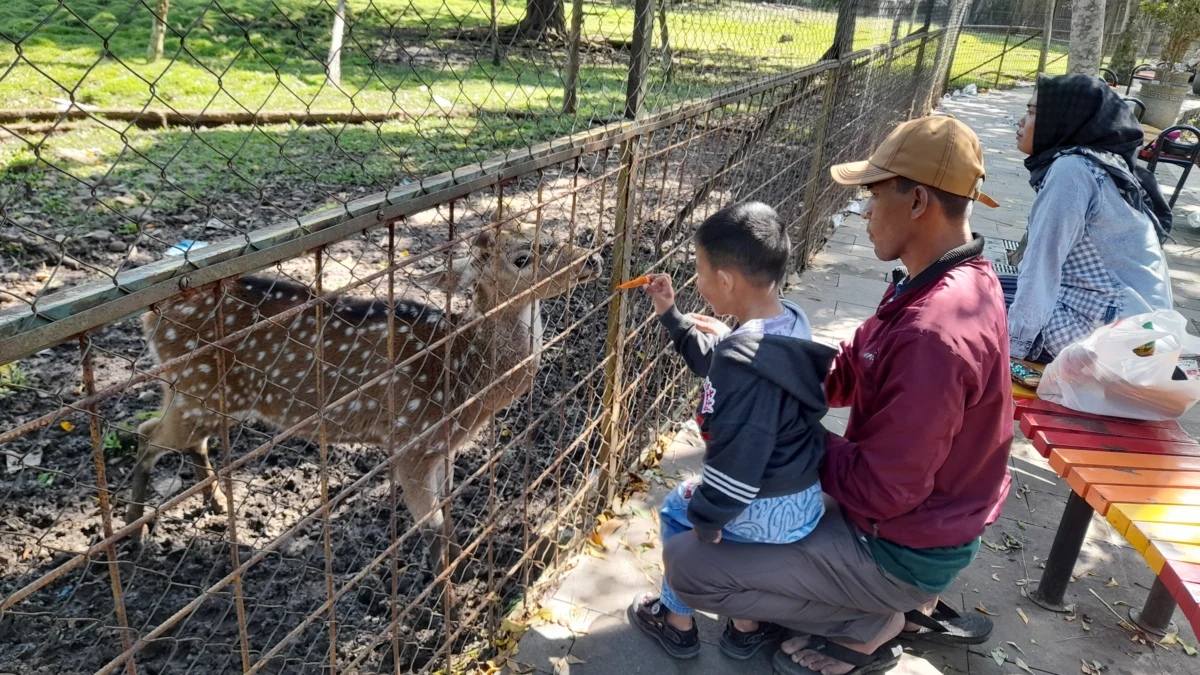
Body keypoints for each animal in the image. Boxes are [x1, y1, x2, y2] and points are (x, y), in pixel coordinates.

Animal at [126, 227, 604, 566]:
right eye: (523, 256)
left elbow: (448, 516)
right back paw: (134, 532)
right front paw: (446, 611)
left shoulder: (440, 448)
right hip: (197, 388)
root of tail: (152, 318)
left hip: (198, 396)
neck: (462, 378)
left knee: (178, 436)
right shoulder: (409, 443)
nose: (594, 258)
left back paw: (213, 502)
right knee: (145, 433)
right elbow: (433, 530)